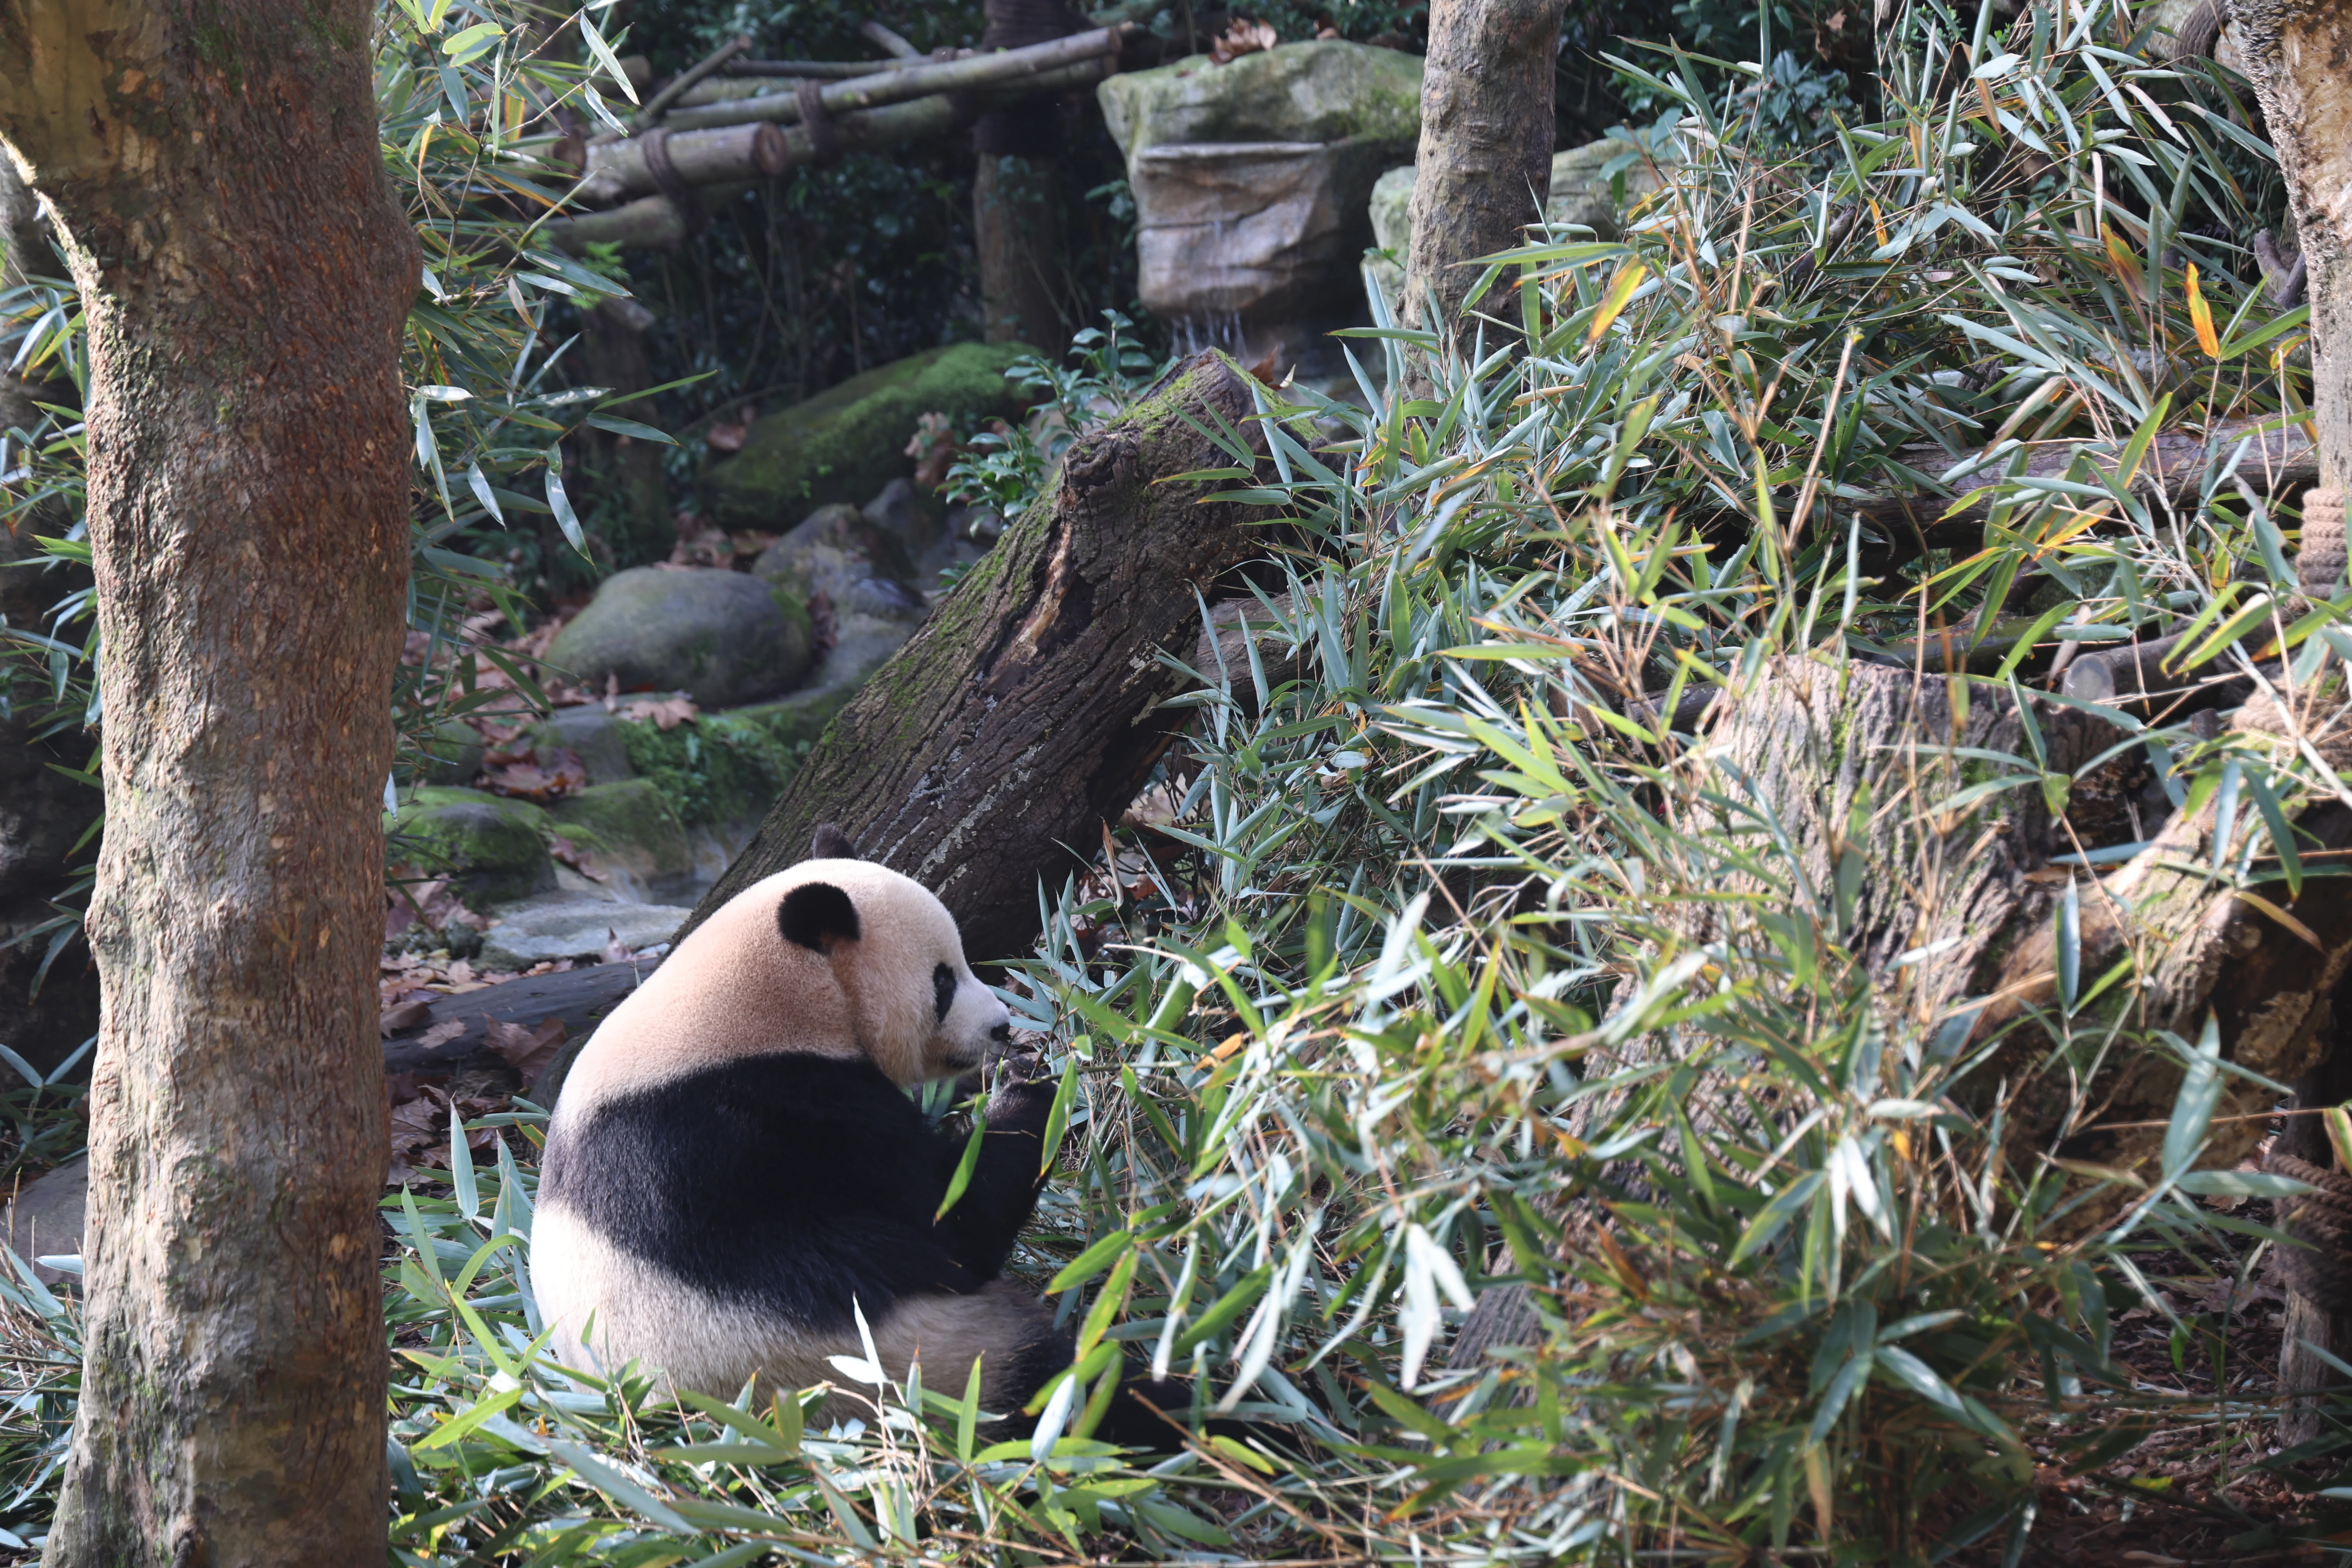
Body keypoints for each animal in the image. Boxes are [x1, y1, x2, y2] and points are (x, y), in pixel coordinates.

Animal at [529, 827, 1179, 1443]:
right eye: (943, 982)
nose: (1001, 1026)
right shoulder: (761, 1117)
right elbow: (949, 1220)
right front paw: (1031, 1085)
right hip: (918, 1361)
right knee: (1067, 1389)